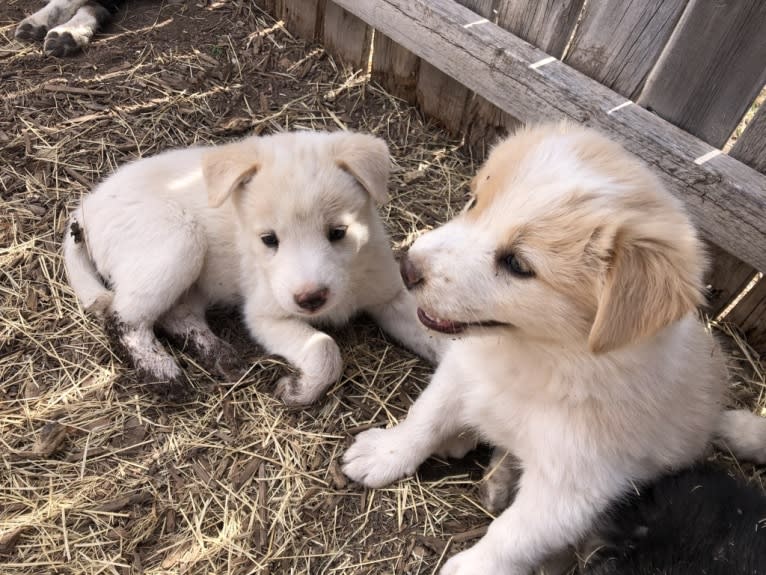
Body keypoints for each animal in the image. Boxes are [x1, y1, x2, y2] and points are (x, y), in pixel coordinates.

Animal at [66, 131, 444, 402]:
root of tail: (88, 205)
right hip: (178, 242)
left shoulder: (390, 296)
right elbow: (324, 349)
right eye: (268, 239)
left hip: (196, 277)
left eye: (338, 232)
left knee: (177, 316)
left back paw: (219, 354)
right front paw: (298, 391)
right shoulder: (265, 316)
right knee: (124, 318)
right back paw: (162, 372)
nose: (311, 299)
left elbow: (434, 336)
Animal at [344, 125, 766, 575]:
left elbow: (511, 535)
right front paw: (383, 454)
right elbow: (423, 419)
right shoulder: (461, 374)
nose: (407, 268)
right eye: (475, 203)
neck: (535, 359)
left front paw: (473, 565)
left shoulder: (569, 489)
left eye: (517, 264)